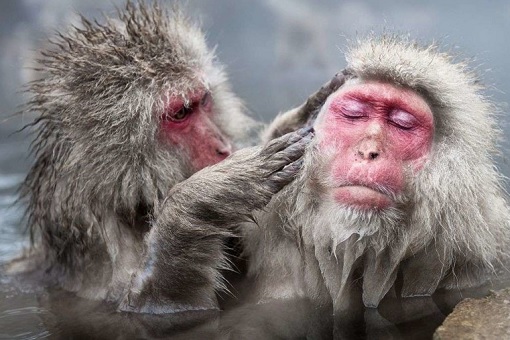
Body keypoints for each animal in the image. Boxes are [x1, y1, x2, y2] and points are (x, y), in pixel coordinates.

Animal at [6, 0, 342, 314]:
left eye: (204, 102)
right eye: (181, 113)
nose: (222, 147)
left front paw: (297, 121)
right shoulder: (102, 265)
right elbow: (157, 309)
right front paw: (203, 197)